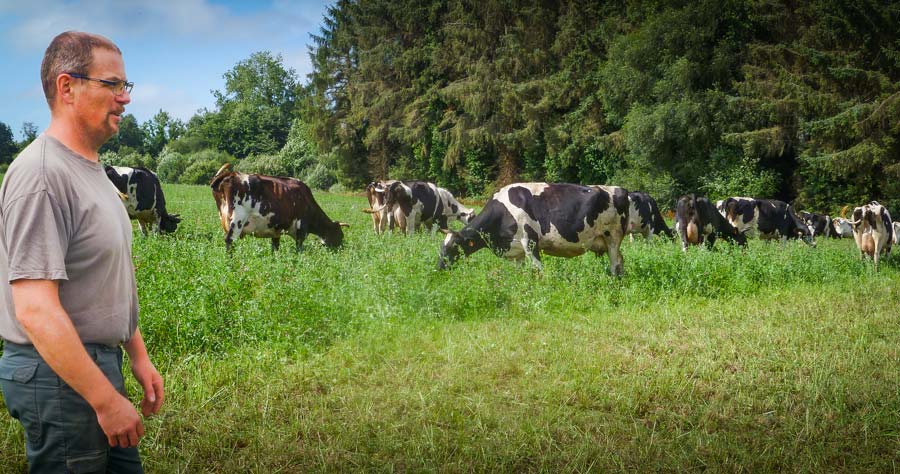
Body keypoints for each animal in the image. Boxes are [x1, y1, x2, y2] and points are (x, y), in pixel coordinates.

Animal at [440, 183, 628, 276]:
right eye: (441, 248)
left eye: (453, 247)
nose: (439, 268)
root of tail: (621, 189)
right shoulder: (516, 251)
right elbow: (520, 274)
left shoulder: (529, 242)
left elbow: (538, 271)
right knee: (620, 260)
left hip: (612, 237)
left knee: (614, 263)